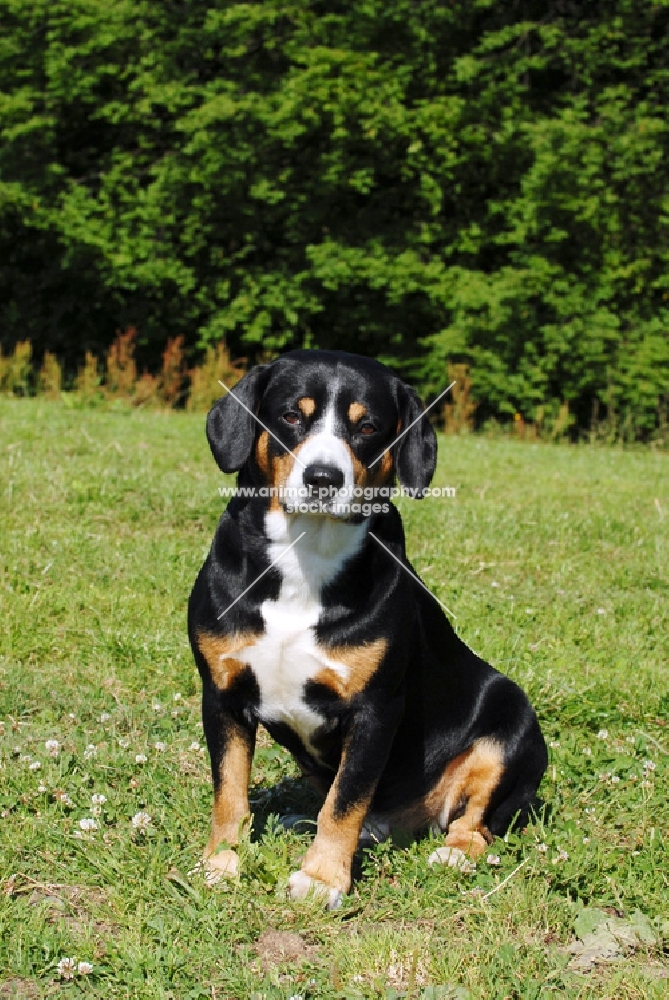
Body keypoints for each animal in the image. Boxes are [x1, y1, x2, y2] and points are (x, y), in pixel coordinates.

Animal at [188, 350, 548, 908]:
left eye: (368, 427)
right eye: (291, 415)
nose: (323, 477)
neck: (306, 559)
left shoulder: (375, 709)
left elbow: (347, 799)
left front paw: (321, 878)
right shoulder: (222, 693)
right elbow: (230, 791)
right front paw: (221, 864)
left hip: (513, 721)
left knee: (475, 822)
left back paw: (452, 851)